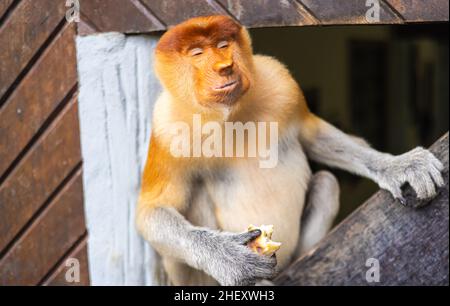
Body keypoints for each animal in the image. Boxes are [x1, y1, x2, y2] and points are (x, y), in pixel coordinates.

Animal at [136, 14, 442, 286]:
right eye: (197, 53)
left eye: (223, 44)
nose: (225, 67)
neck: (230, 114)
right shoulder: (166, 126)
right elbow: (151, 212)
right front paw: (231, 260)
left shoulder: (281, 83)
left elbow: (313, 135)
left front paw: (401, 166)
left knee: (326, 182)